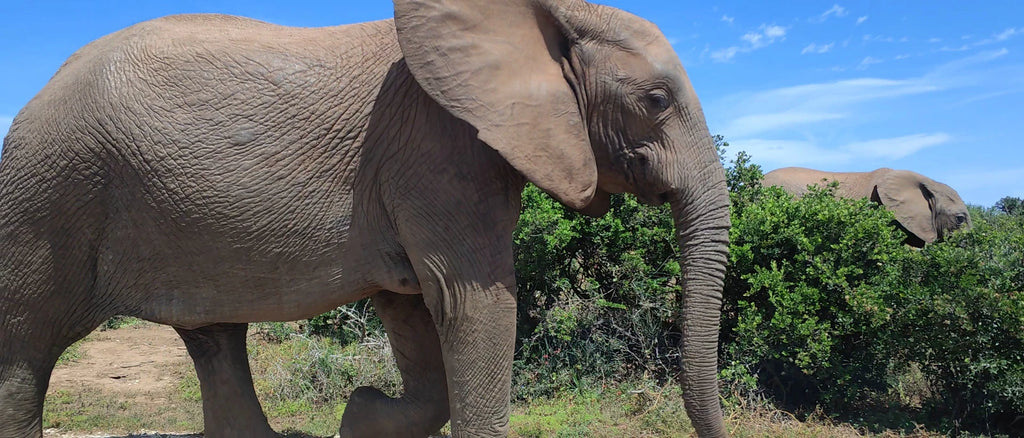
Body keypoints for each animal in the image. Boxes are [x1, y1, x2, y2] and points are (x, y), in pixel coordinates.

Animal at [0, 1, 731, 437]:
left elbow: (414, 310)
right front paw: (363, 409)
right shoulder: (439, 154)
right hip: (49, 197)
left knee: (215, 341)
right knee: (25, 352)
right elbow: (474, 303)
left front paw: (359, 414)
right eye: (657, 100)